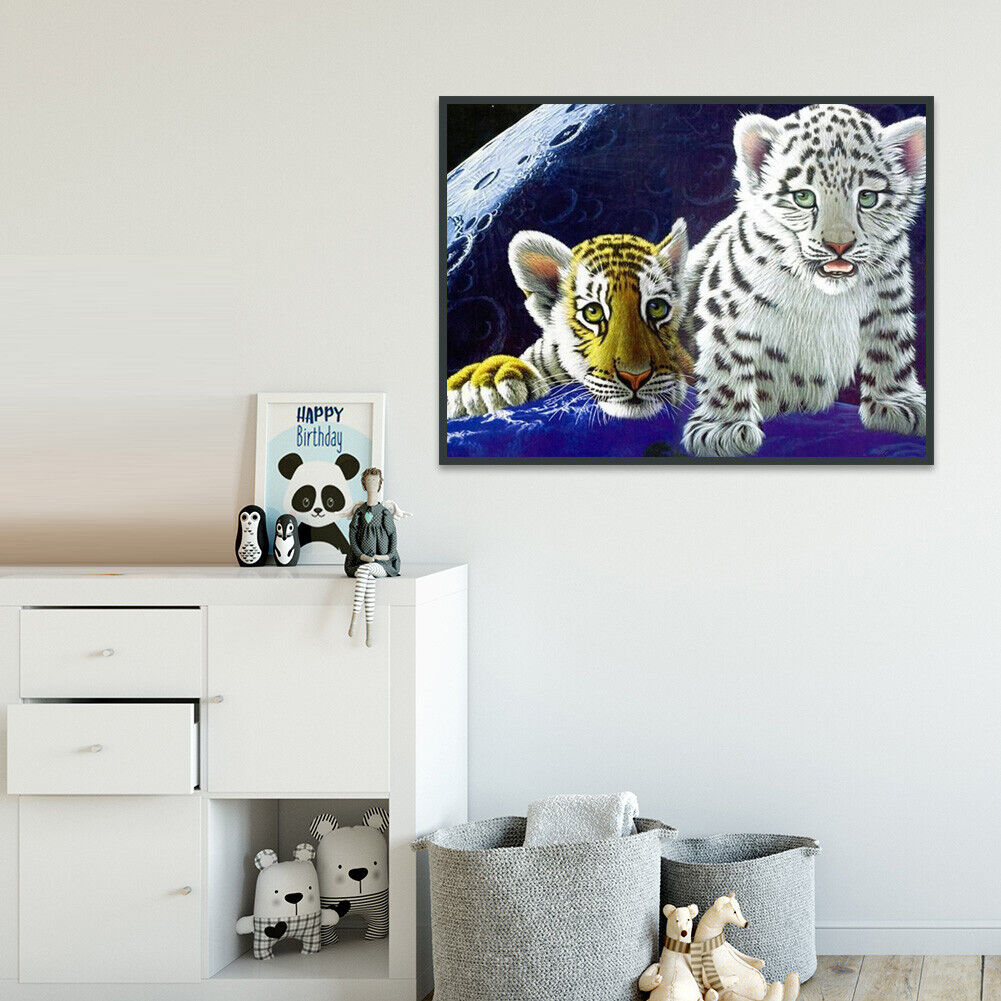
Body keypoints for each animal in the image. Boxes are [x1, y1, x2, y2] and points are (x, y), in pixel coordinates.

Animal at [681, 103, 927, 458]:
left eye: (867, 197)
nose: (839, 245)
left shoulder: (889, 301)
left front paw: (898, 403)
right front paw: (722, 430)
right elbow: (726, 362)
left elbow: (891, 348)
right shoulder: (729, 308)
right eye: (803, 197)